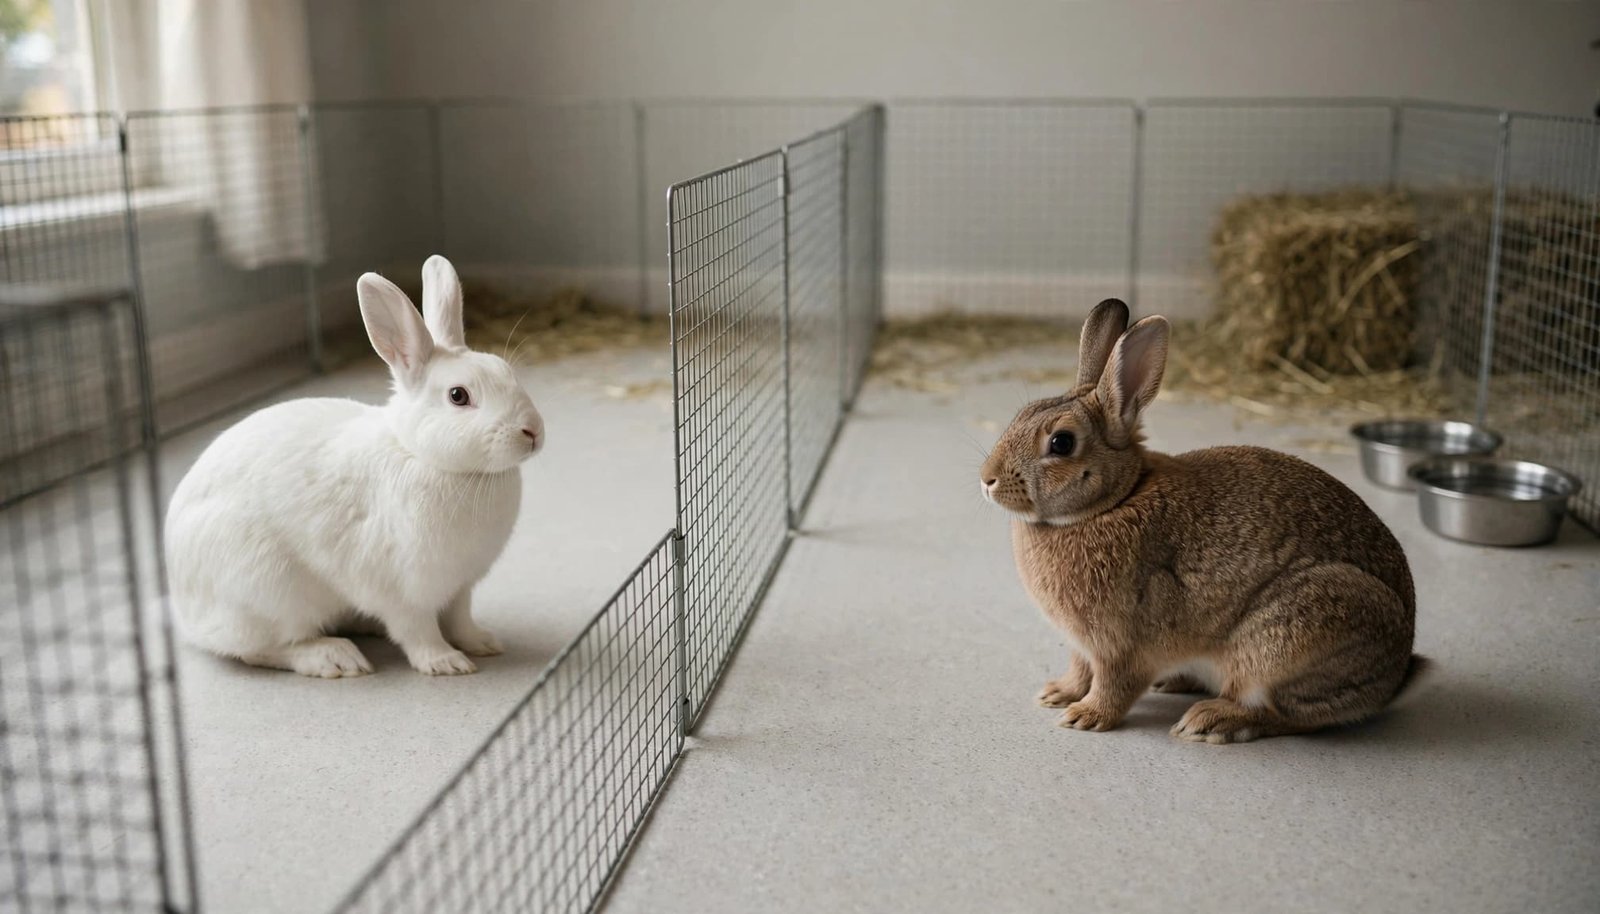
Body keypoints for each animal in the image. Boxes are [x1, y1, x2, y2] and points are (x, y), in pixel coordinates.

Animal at [165, 255, 545, 678]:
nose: (532, 431)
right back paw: (335, 657)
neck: (422, 456)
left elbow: (461, 619)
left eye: (506, 371)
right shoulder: (403, 591)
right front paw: (446, 663)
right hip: (268, 593)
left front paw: (484, 643)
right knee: (261, 649)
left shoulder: (460, 586)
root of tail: (185, 613)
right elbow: (418, 631)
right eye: (458, 396)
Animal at [979, 299, 1428, 743]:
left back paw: (1210, 720)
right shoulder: (1081, 644)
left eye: (1061, 443)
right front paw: (1057, 693)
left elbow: (1114, 685)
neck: (1115, 499)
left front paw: (1085, 716)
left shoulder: (1120, 646)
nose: (987, 479)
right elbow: (1079, 668)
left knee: (1286, 714)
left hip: (1289, 641)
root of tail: (1393, 679)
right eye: (1022, 415)